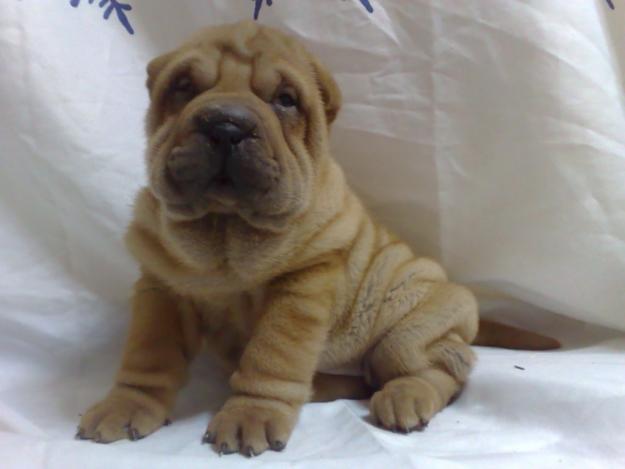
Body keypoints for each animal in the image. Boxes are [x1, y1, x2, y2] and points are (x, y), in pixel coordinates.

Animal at [75, 21, 560, 454]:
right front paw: (125, 405)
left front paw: (251, 414)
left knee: (441, 372)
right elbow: (148, 354)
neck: (225, 230)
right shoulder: (162, 287)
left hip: (409, 329)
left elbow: (272, 355)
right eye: (184, 87)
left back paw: (404, 397)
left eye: (285, 100)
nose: (227, 125)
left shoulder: (300, 286)